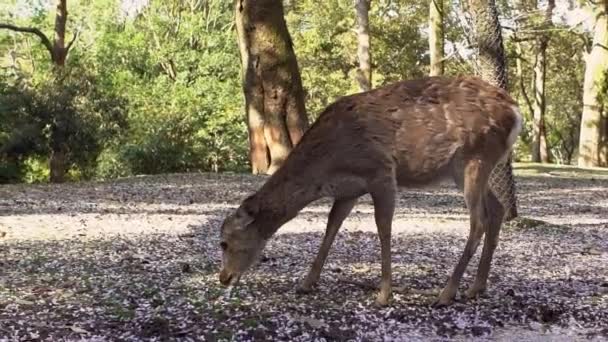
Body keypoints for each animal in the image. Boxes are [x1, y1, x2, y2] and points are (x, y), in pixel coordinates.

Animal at [218, 75, 524, 308]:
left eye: (224, 242)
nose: (224, 278)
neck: (327, 164)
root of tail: (515, 111)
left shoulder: (381, 171)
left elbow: (383, 227)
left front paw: (384, 294)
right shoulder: (348, 190)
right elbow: (331, 226)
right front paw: (306, 283)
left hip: (475, 157)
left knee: (479, 220)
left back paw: (446, 293)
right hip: (469, 168)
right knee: (497, 209)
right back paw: (476, 287)